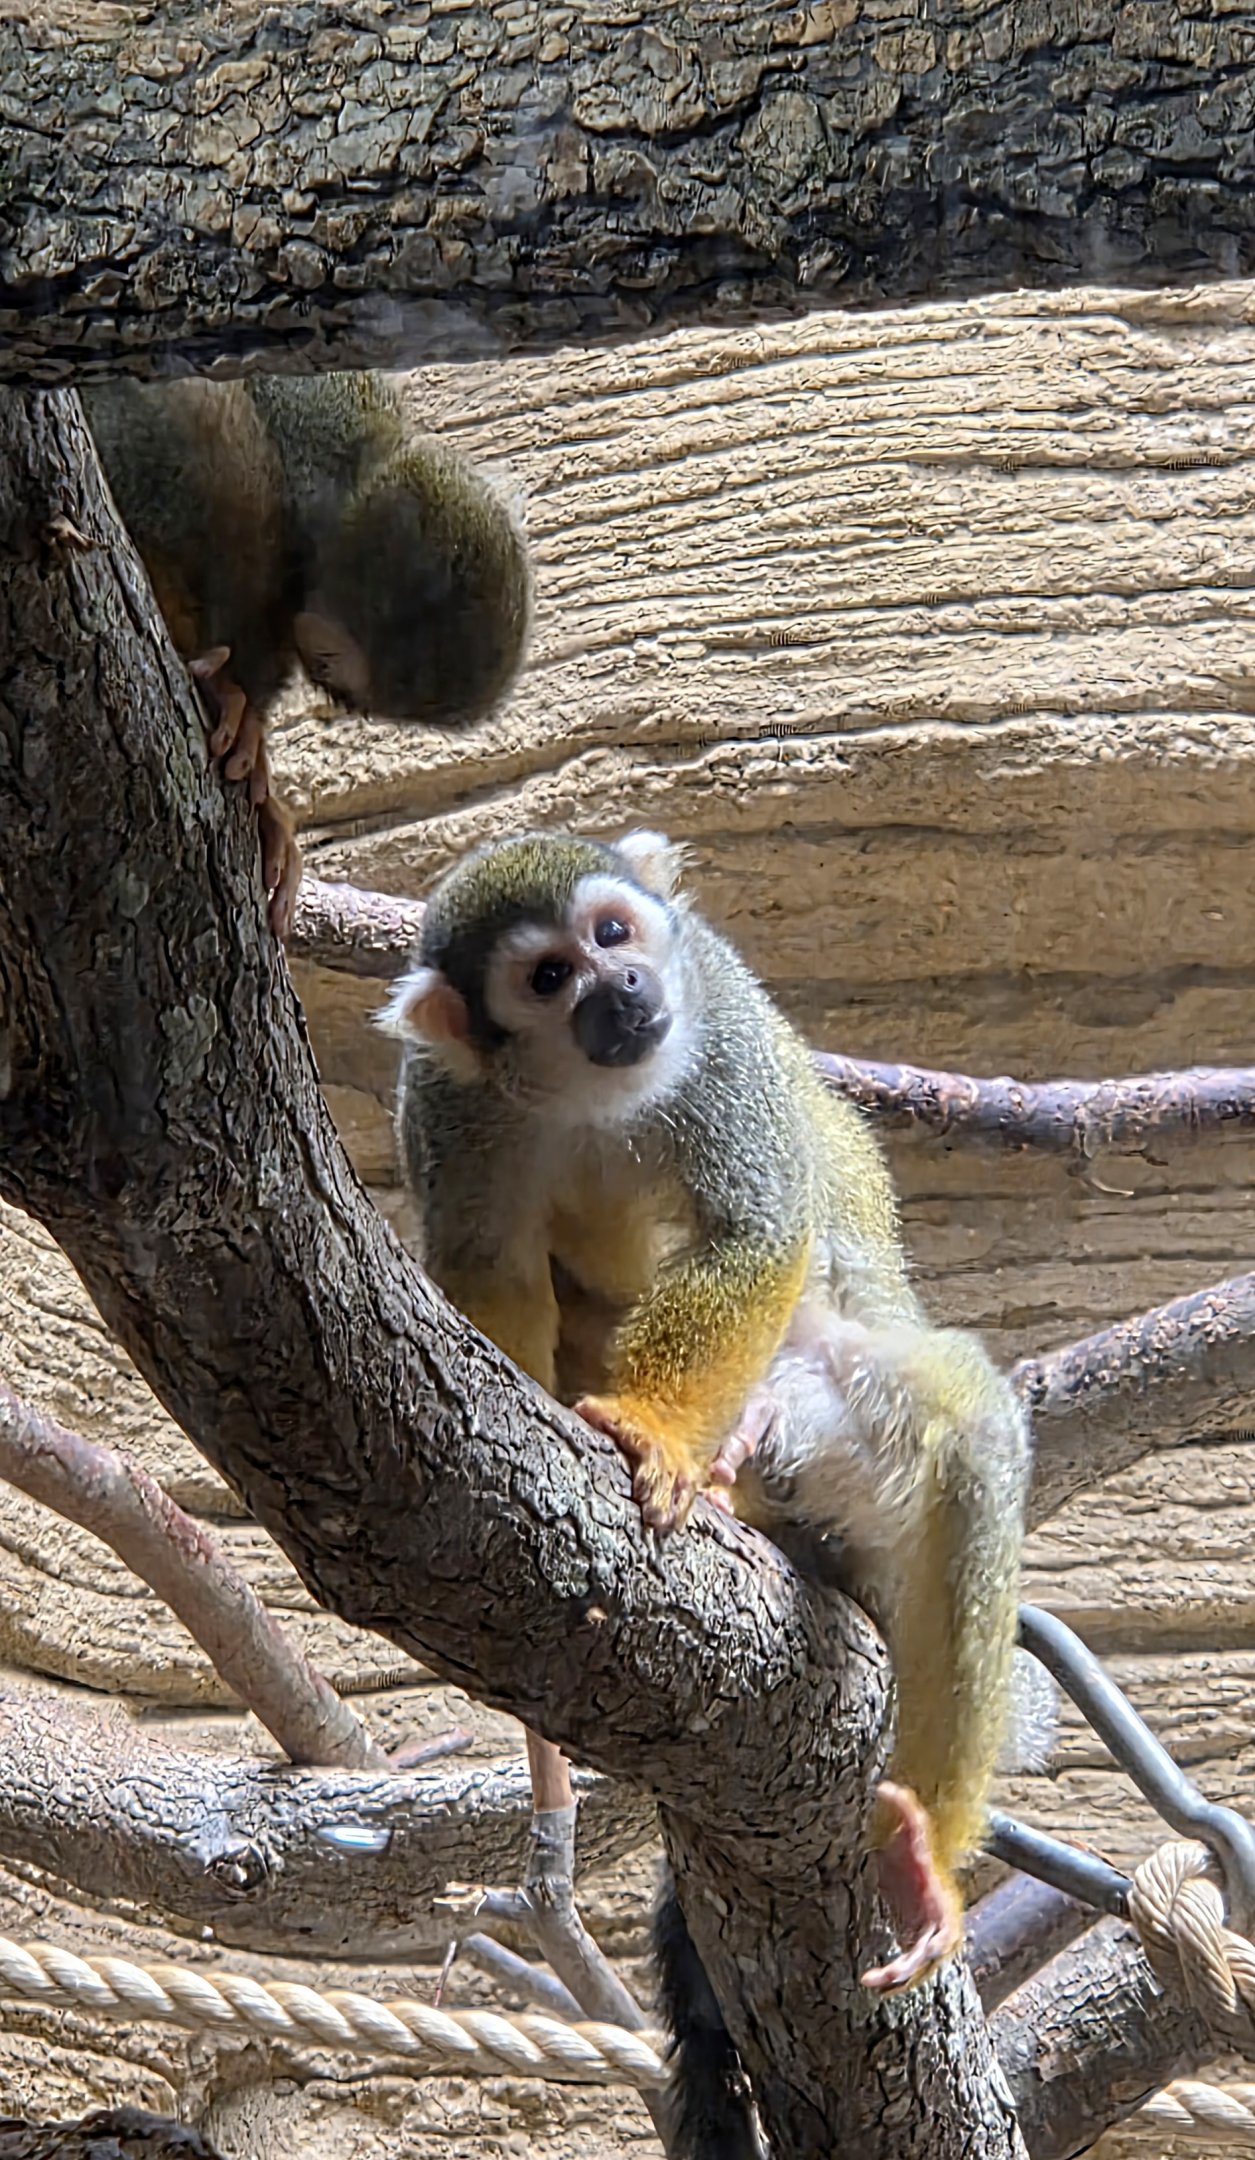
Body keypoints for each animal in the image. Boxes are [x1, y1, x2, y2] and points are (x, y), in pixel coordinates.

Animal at [375, 826, 1030, 2154]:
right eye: (548, 977)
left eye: (614, 934)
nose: (624, 989)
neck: (589, 1094)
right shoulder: (448, 1103)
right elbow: (487, 1278)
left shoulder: (713, 1016)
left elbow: (753, 1231)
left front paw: (656, 1436)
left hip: (832, 1391)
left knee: (960, 1431)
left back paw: (926, 1851)